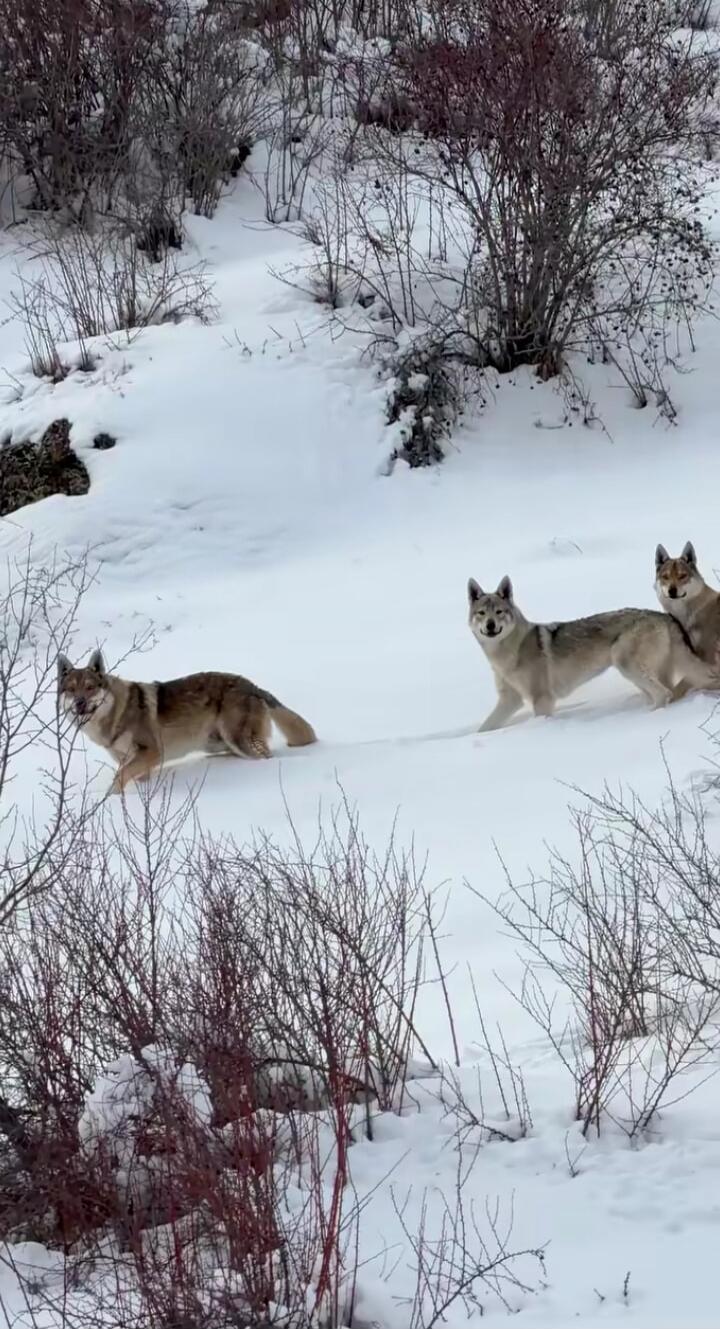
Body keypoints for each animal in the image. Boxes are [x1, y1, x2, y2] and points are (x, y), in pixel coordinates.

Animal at [58, 649, 317, 794]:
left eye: (90, 688)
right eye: (71, 690)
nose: (79, 703)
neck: (115, 717)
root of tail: (253, 686)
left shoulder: (152, 752)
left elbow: (117, 779)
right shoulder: (134, 762)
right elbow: (128, 776)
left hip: (239, 741)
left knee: (266, 758)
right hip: (216, 743)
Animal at [467, 575, 720, 732]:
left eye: (499, 612)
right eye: (481, 613)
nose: (490, 626)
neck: (507, 652)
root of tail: (664, 616)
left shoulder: (542, 699)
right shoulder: (510, 700)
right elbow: (484, 728)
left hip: (625, 663)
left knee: (664, 693)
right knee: (668, 692)